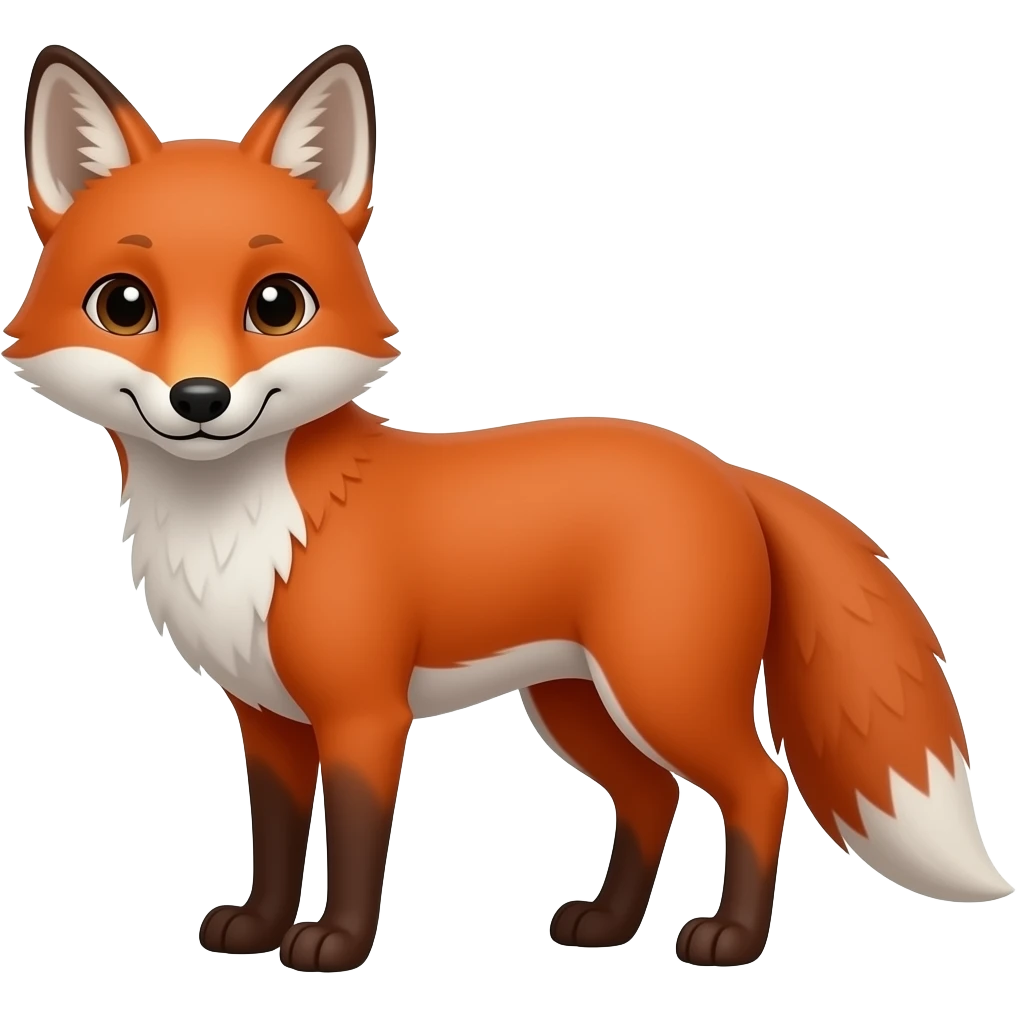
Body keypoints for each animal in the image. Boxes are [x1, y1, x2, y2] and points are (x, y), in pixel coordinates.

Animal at [4, 41, 1012, 974]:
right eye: (125, 304)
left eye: (277, 304)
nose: (201, 399)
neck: (240, 528)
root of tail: (724, 468)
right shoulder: (268, 716)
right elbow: (279, 836)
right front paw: (255, 929)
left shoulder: (365, 711)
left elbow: (358, 838)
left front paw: (335, 942)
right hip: (576, 702)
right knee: (650, 795)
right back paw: (605, 925)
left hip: (662, 689)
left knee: (759, 786)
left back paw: (728, 937)